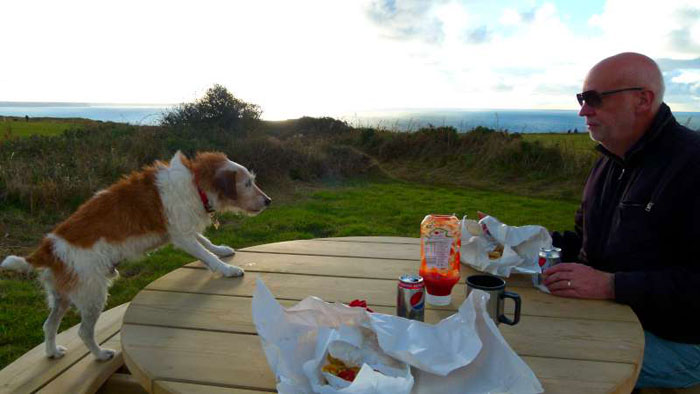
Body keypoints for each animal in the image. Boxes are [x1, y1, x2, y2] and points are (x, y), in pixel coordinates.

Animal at [0, 151, 270, 360]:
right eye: (247, 183)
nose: (268, 201)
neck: (195, 183)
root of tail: (48, 247)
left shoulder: (182, 230)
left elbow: (205, 241)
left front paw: (221, 250)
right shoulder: (181, 235)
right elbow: (205, 253)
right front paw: (227, 270)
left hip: (63, 297)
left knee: (49, 325)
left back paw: (52, 352)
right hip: (92, 295)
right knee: (83, 332)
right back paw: (100, 355)